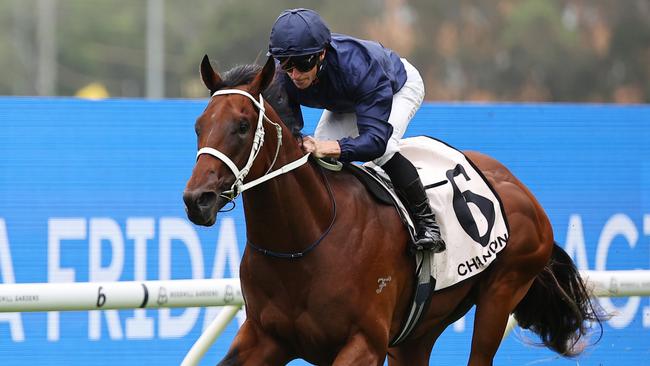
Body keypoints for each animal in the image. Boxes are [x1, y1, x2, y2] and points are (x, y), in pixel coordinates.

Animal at [181, 55, 596, 364]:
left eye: (242, 125)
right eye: (199, 125)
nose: (197, 199)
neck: (303, 244)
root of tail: (519, 188)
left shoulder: (364, 343)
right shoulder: (265, 337)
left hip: (502, 292)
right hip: (421, 329)